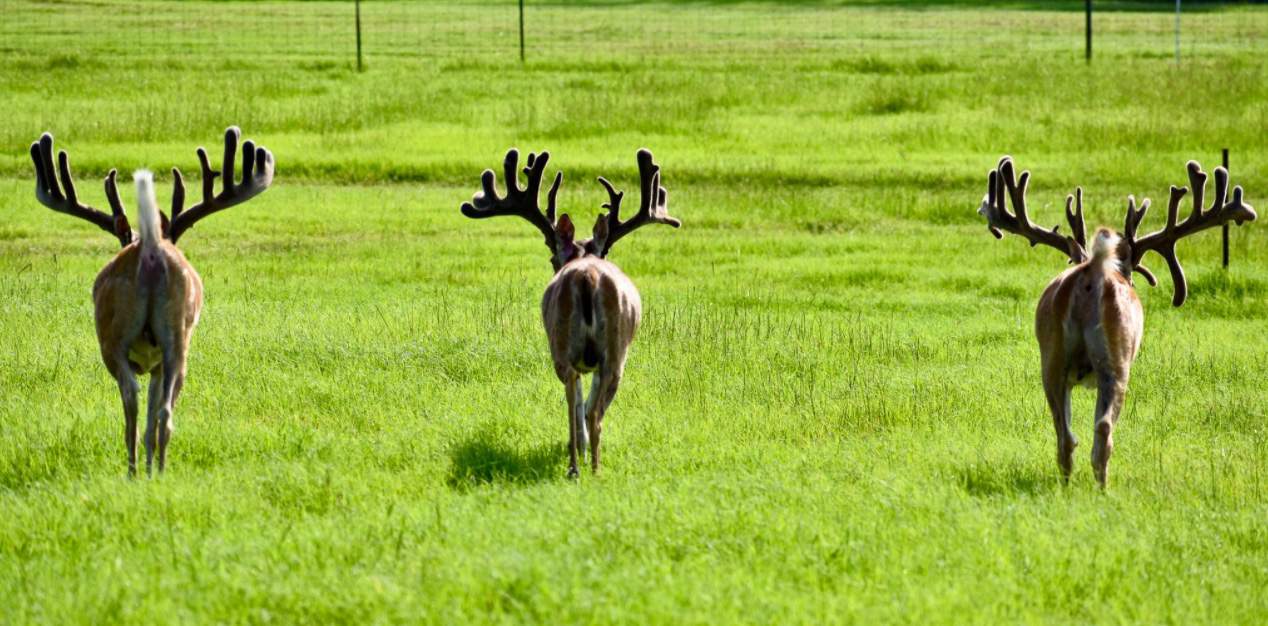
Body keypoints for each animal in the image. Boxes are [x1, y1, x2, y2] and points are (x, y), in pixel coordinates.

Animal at [29, 127, 274, 476]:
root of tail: (149, 248)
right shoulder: (158, 363)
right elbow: (153, 416)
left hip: (113, 337)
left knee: (131, 400)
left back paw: (133, 472)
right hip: (178, 338)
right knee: (165, 414)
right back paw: (156, 471)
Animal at [461, 148, 680, 478]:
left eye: (553, 257)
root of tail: (587, 276)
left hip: (566, 344)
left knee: (577, 405)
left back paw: (579, 465)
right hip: (611, 351)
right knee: (590, 409)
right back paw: (589, 467)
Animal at [978, 156, 1255, 487]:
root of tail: (1095, 270)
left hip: (1052, 357)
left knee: (1064, 435)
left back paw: (1067, 486)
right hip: (1117, 358)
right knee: (1103, 428)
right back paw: (1103, 488)